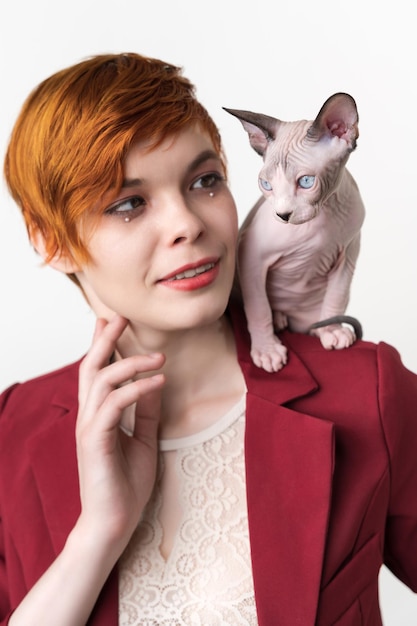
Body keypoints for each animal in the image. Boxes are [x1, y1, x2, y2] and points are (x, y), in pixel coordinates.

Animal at [224, 90, 364, 368]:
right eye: (266, 185)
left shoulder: (349, 254)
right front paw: (267, 350)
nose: (283, 215)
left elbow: (336, 297)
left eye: (306, 182)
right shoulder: (250, 255)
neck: (324, 215)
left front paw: (331, 331)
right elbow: (258, 308)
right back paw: (278, 318)